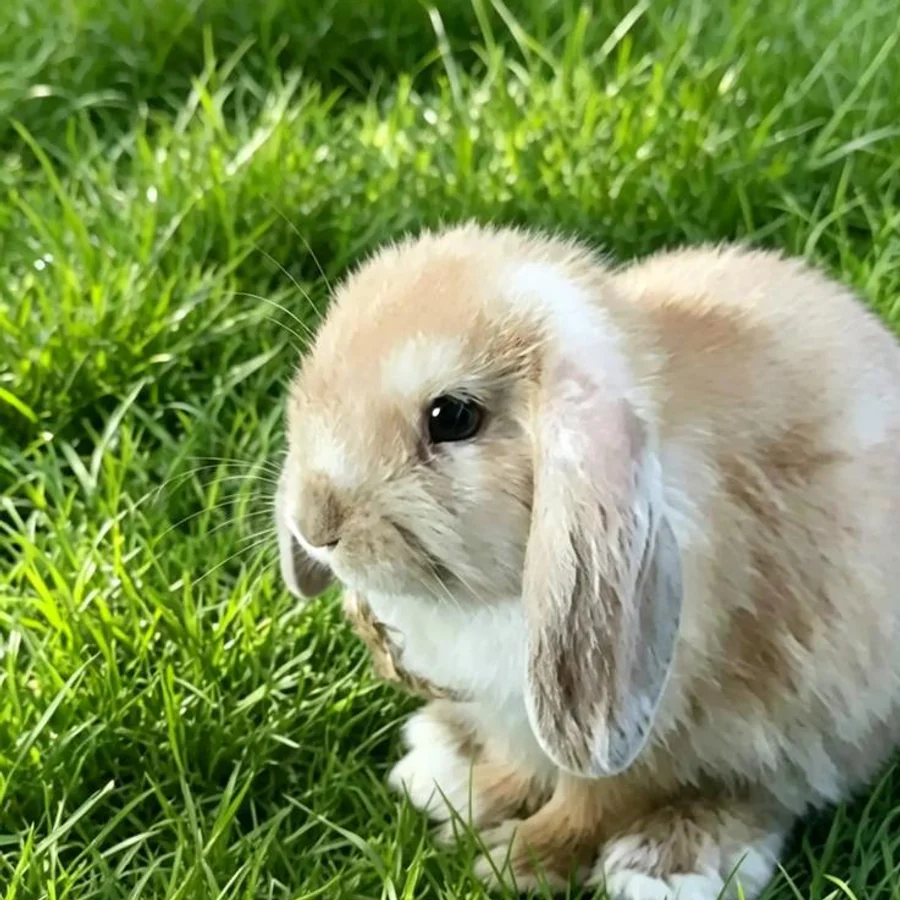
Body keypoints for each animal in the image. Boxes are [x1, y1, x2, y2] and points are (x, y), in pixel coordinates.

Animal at [274, 223, 900, 899]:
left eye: (452, 417)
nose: (315, 525)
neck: (485, 596)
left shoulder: (637, 735)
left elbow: (590, 805)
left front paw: (513, 860)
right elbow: (516, 769)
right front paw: (474, 795)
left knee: (766, 792)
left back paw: (664, 865)